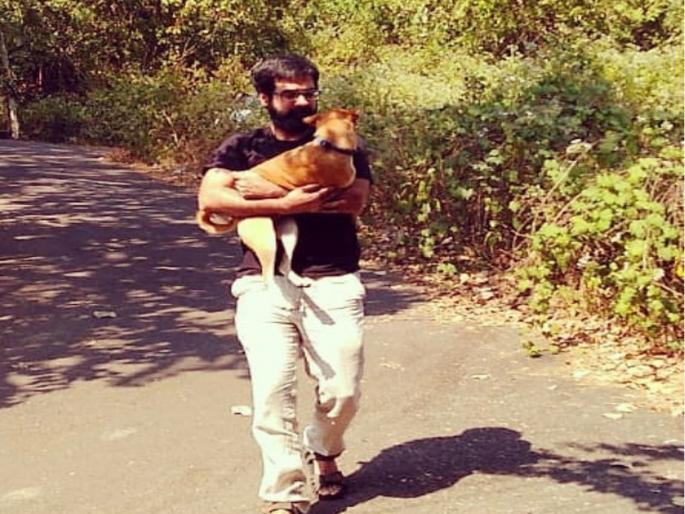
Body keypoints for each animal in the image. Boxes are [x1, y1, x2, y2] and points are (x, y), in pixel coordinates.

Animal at [197, 108, 359, 285]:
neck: (329, 143)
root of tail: (237, 217)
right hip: (266, 240)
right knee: (268, 277)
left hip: (290, 231)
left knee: (284, 266)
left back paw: (298, 280)